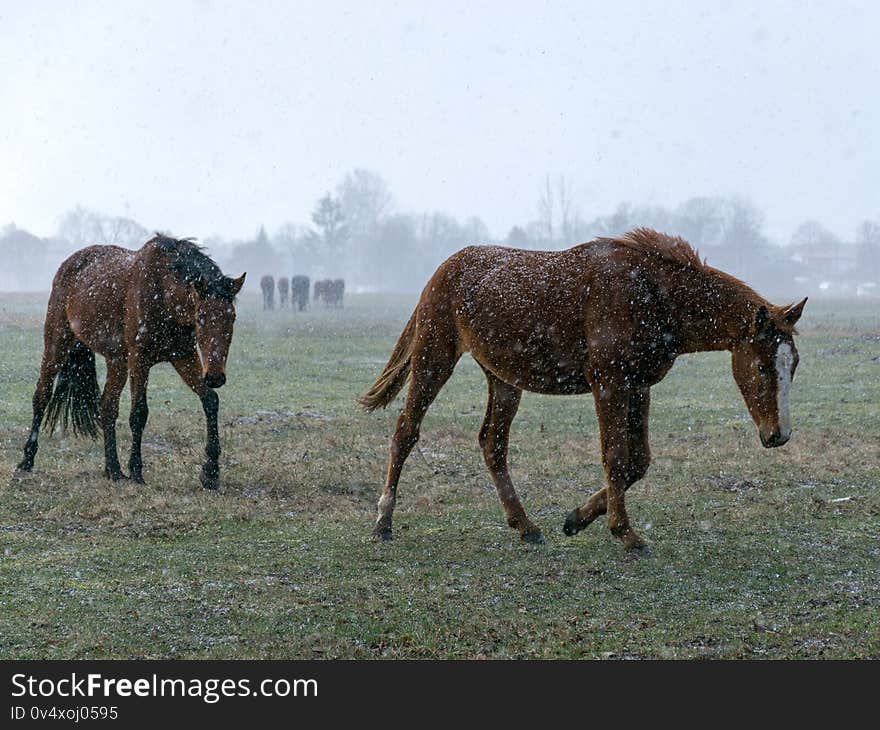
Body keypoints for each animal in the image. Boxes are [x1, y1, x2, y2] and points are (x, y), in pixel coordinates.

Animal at [17, 235, 244, 490]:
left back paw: (113, 470)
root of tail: (69, 264)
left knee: (107, 406)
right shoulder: (140, 360)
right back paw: (27, 460)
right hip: (57, 342)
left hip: (116, 360)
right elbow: (139, 413)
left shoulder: (184, 356)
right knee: (42, 396)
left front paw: (211, 472)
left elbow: (210, 400)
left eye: (232, 317)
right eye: (201, 317)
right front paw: (136, 471)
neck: (163, 294)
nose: (215, 376)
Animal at [360, 228, 808, 552]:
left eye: (795, 364)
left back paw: (526, 526)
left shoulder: (638, 386)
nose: (779, 435)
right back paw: (383, 522)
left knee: (492, 444)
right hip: (433, 360)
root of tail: (442, 270)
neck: (653, 294)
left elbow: (638, 461)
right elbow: (616, 457)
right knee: (406, 431)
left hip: (503, 381)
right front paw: (625, 533)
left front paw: (576, 518)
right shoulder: (608, 383)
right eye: (763, 365)